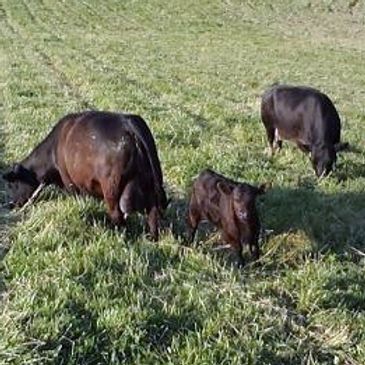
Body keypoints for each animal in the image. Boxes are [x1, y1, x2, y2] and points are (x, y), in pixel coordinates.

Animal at [2, 109, 168, 240]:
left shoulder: (70, 183)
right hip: (152, 189)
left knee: (118, 216)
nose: (11, 204)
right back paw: (151, 239)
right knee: (153, 217)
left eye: (12, 184)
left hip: (112, 191)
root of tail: (129, 125)